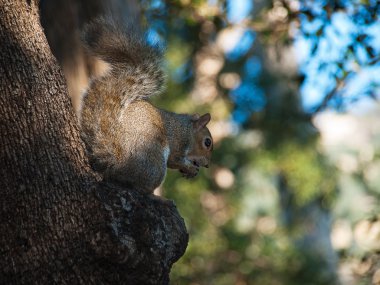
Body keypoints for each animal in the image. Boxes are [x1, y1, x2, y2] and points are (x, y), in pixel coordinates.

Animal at [79, 17, 214, 195]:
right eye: (207, 142)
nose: (207, 164)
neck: (187, 130)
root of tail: (117, 164)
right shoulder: (178, 142)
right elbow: (175, 160)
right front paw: (189, 168)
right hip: (153, 156)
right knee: (141, 186)